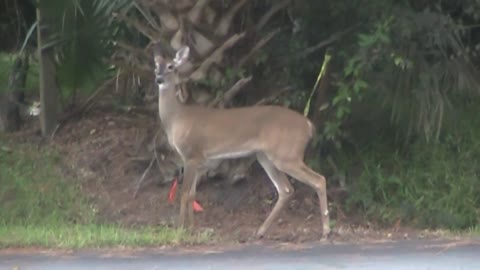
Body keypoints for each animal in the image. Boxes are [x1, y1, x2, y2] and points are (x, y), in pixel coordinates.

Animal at [154, 44, 330, 238]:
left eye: (171, 66)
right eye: (155, 66)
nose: (159, 79)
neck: (177, 118)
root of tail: (308, 125)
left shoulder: (191, 154)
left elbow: (184, 193)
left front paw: (180, 230)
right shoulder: (201, 161)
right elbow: (192, 194)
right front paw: (192, 229)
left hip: (287, 154)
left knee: (318, 179)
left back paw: (326, 231)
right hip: (266, 156)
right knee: (286, 190)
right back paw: (260, 231)